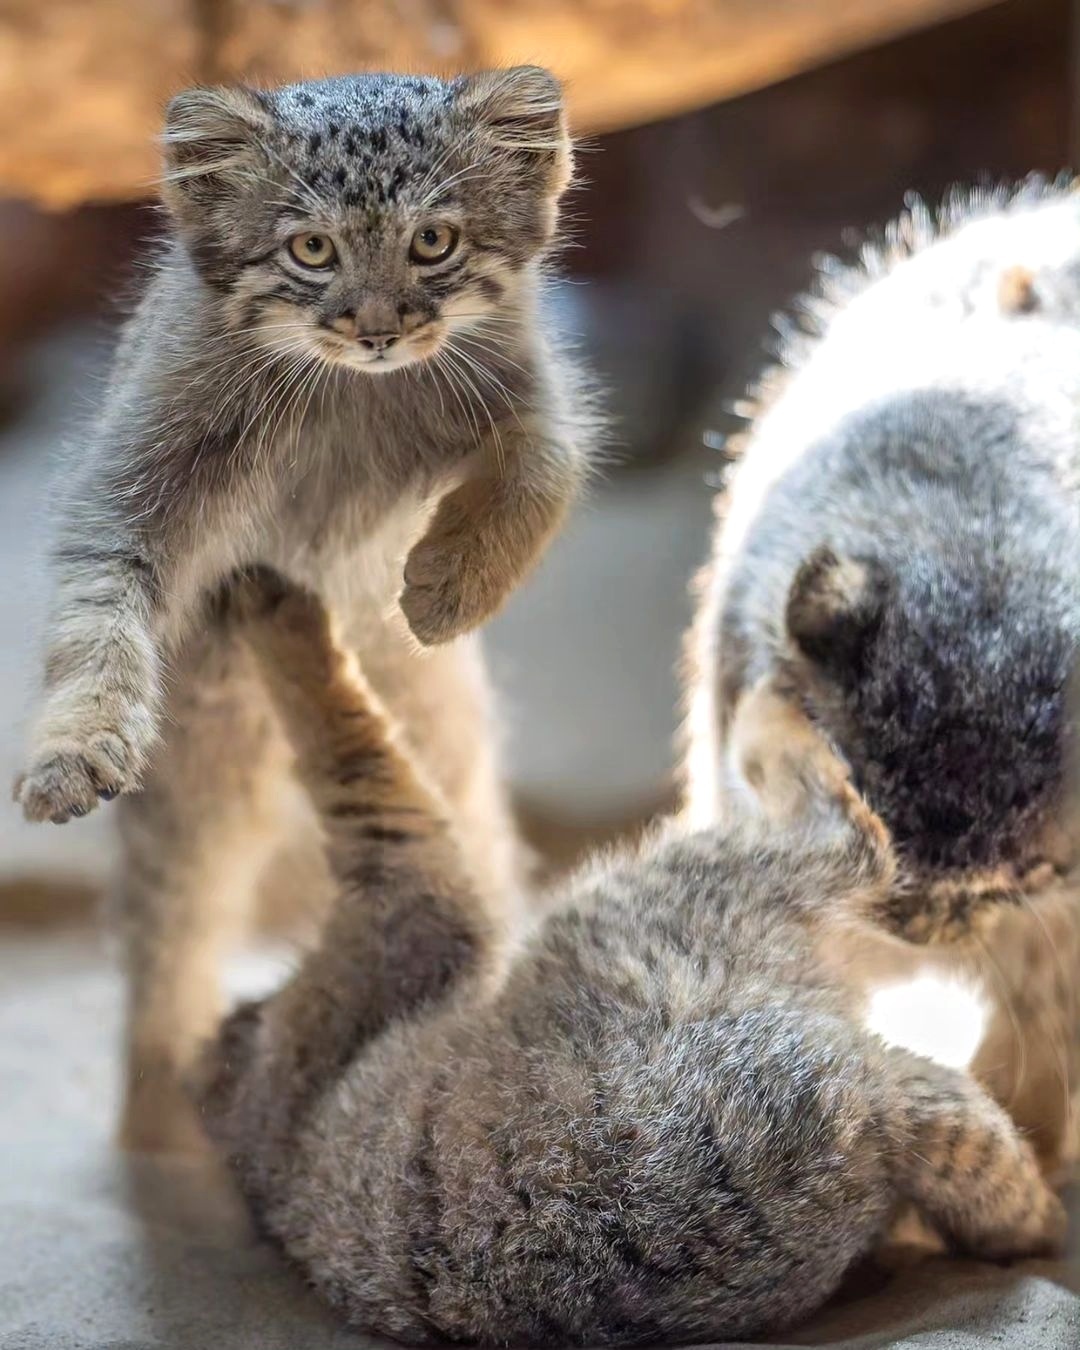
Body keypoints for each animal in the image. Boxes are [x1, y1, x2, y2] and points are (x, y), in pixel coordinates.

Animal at [12, 68, 594, 1150]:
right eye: (311, 250)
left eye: (433, 242)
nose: (377, 328)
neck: (350, 398)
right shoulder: (128, 482)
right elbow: (95, 615)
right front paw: (74, 746)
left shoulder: (534, 387)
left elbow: (549, 467)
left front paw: (445, 585)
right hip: (189, 809)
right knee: (169, 952)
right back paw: (163, 1112)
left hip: (452, 764)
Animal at [194, 569, 1063, 1350]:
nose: (232, 1022)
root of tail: (857, 1115)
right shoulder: (405, 911)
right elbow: (351, 751)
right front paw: (280, 610)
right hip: (668, 893)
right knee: (850, 835)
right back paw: (768, 706)